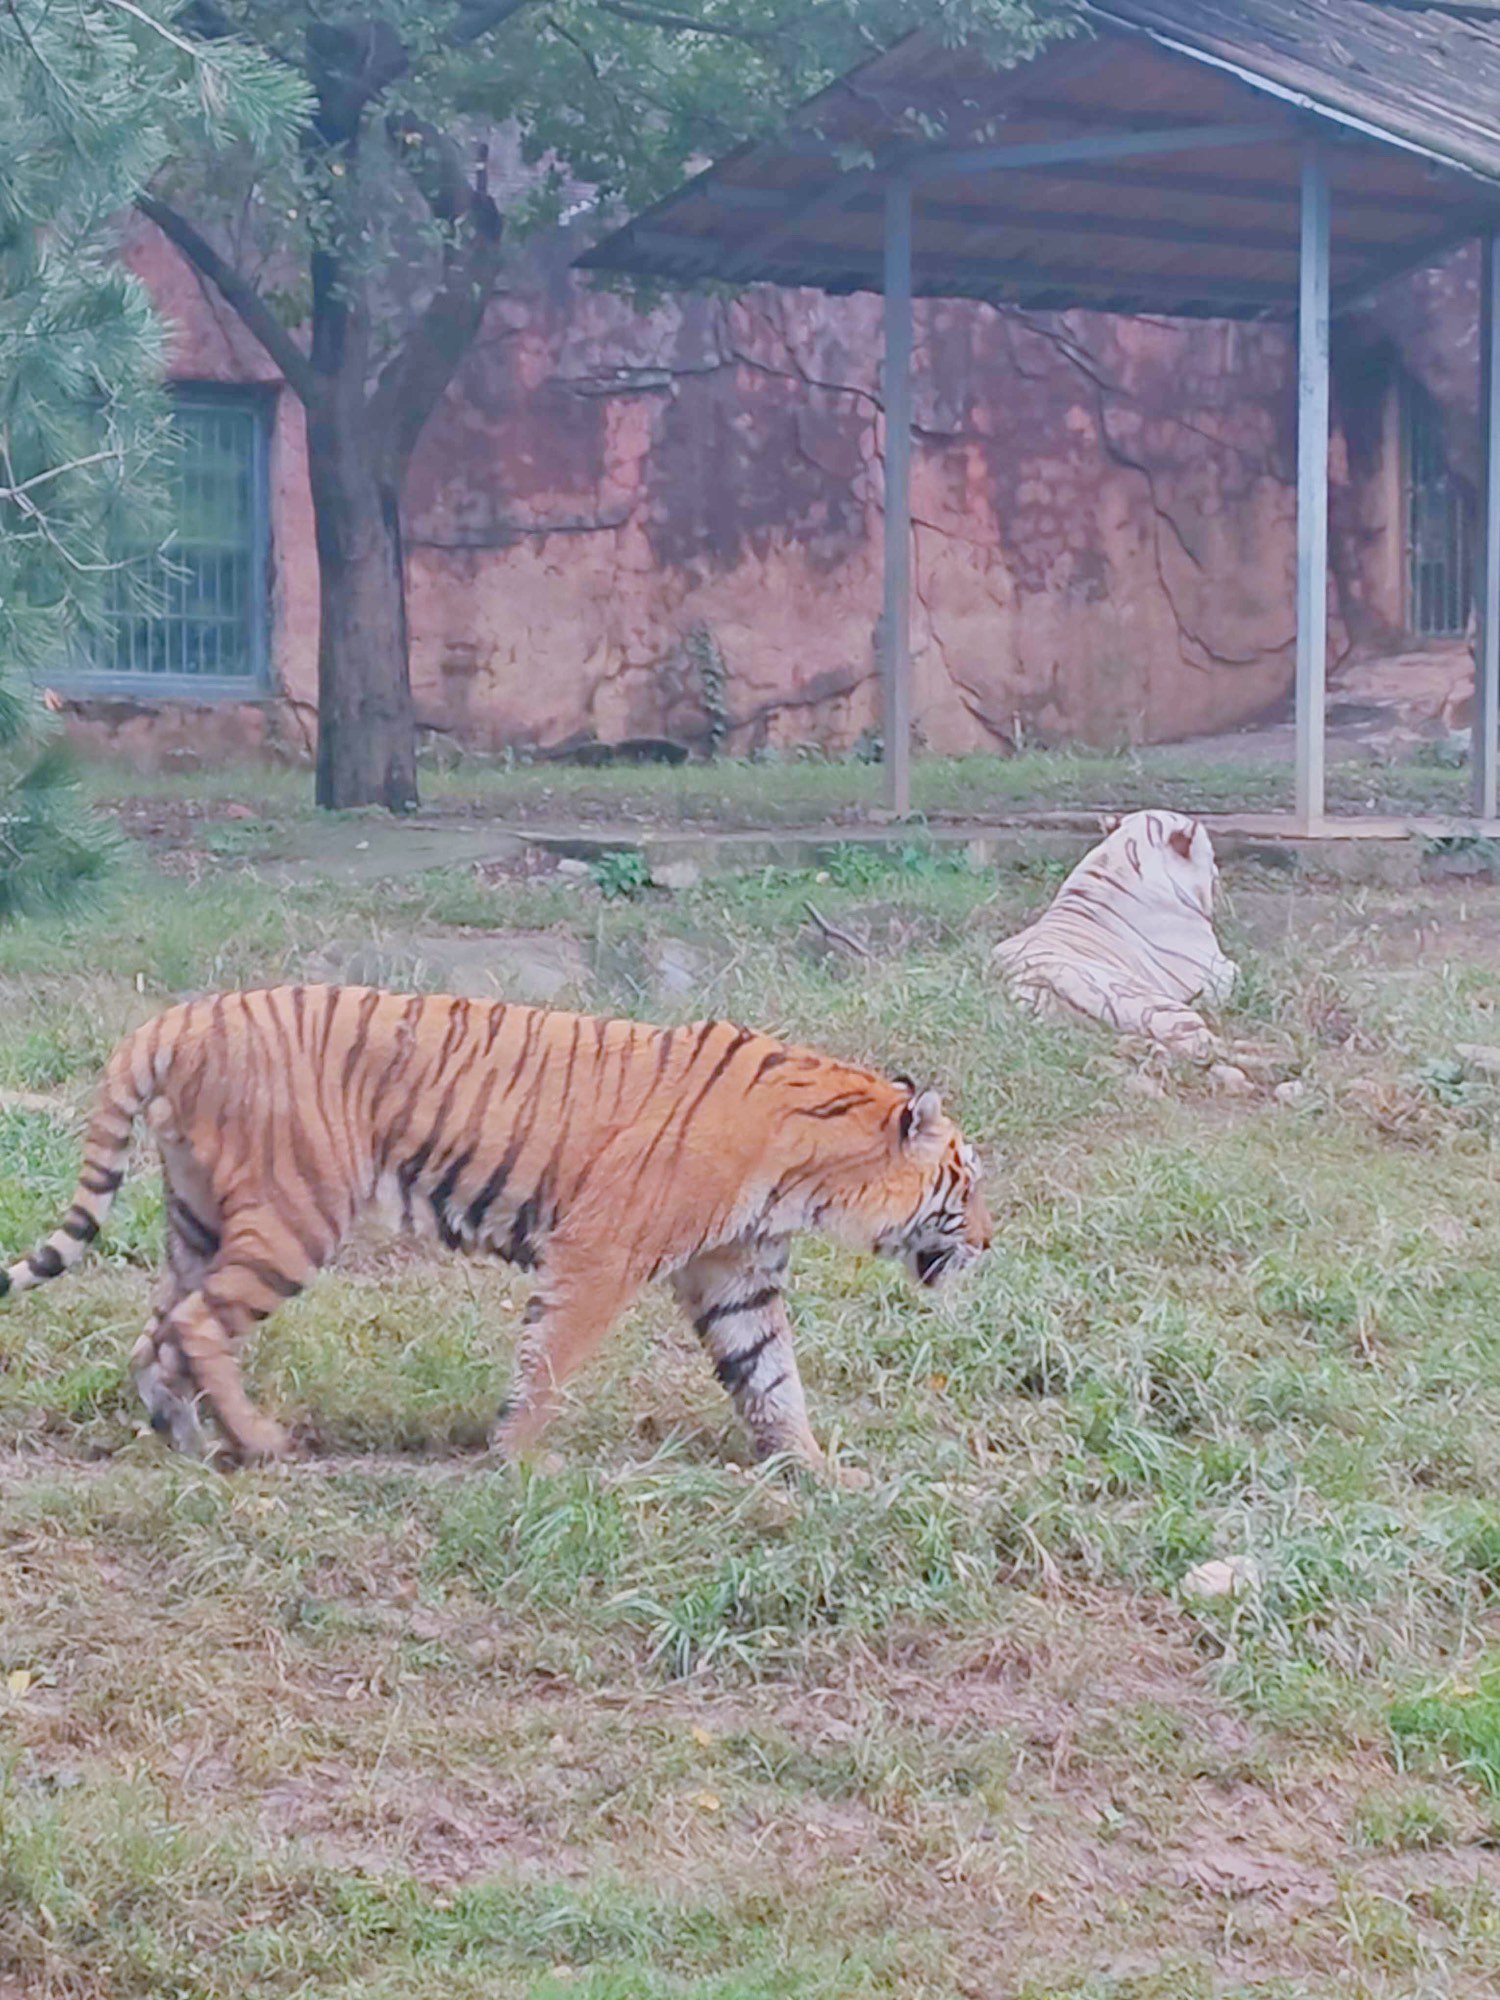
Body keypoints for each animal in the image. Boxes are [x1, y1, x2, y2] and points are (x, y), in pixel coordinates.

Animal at [2, 984, 1000, 1472]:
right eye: (966, 1182)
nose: (991, 1244)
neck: (810, 1171)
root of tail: (175, 1019)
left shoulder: (736, 1276)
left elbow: (772, 1379)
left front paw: (819, 1473)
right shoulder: (601, 1253)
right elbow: (550, 1360)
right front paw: (519, 1463)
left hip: (198, 1217)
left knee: (157, 1329)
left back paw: (183, 1438)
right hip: (294, 1216)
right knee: (198, 1323)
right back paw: (258, 1443)